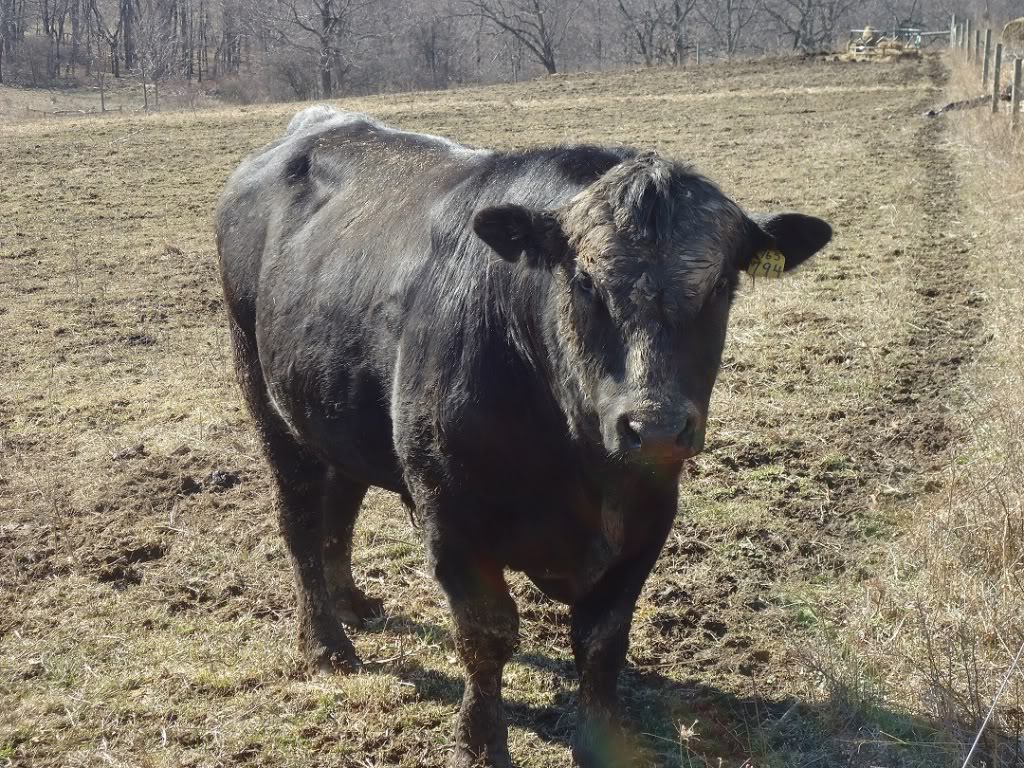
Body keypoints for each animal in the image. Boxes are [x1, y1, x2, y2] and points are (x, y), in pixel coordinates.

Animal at [216, 107, 831, 768]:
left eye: (719, 285)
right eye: (584, 282)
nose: (655, 426)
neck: (578, 463)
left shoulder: (650, 516)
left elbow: (603, 638)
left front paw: (602, 739)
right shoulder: (450, 519)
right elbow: (486, 634)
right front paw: (480, 742)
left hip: (336, 409)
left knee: (340, 507)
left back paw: (352, 604)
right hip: (265, 397)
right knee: (301, 522)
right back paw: (326, 643)